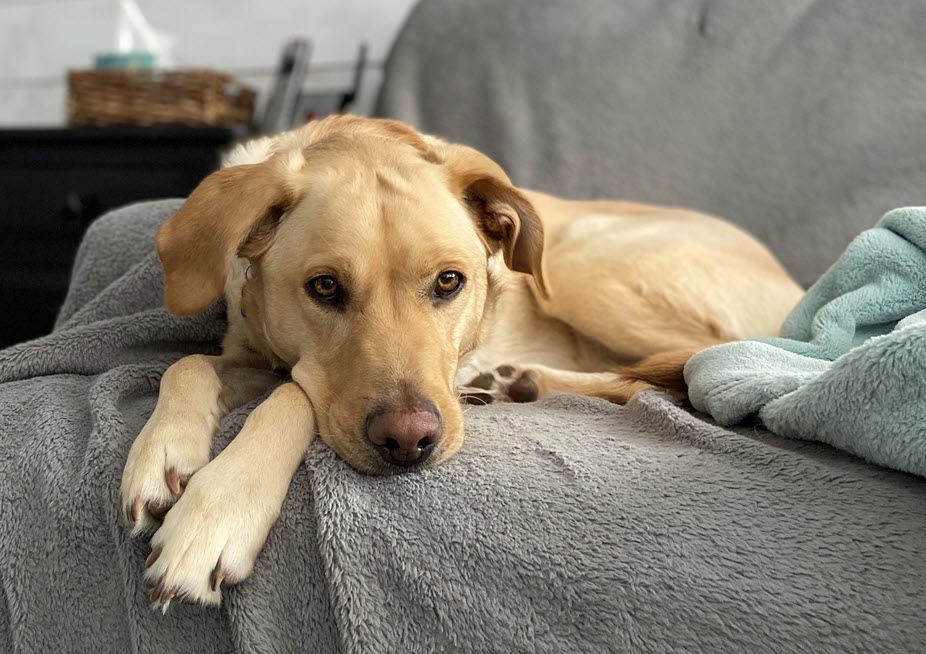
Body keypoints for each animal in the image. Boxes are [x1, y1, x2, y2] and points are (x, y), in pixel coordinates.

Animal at [121, 114, 804, 608]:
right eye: (324, 287)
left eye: (450, 281)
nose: (408, 441)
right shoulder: (250, 354)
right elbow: (187, 366)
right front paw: (162, 451)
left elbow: (293, 396)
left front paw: (216, 510)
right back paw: (514, 383)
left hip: (583, 266)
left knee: (697, 363)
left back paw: (518, 379)